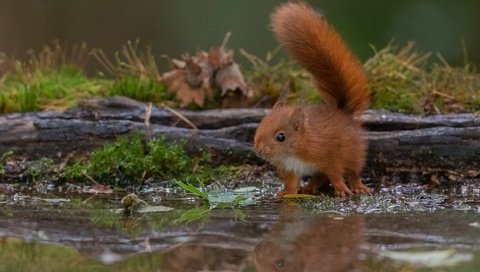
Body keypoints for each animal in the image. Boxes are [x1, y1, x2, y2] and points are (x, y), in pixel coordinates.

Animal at [255, 3, 372, 197]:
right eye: (260, 124)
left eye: (281, 137)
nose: (258, 150)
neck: (295, 151)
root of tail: (342, 112)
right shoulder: (289, 168)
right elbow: (290, 182)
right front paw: (286, 193)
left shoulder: (329, 156)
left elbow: (336, 174)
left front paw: (341, 189)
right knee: (319, 177)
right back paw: (308, 187)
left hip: (353, 153)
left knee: (351, 172)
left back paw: (357, 186)